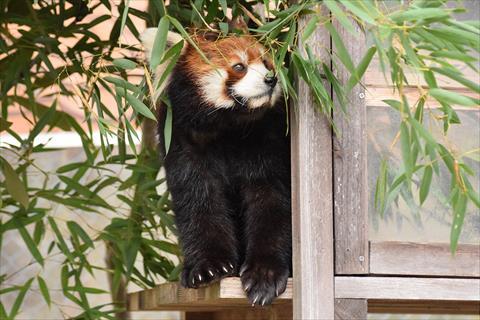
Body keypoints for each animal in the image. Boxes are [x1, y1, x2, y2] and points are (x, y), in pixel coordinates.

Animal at [141, 18, 290, 306]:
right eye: (239, 66)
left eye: (267, 62)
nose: (271, 79)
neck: (228, 128)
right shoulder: (182, 142)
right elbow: (199, 201)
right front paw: (208, 267)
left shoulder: (268, 142)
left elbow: (272, 202)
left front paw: (264, 273)